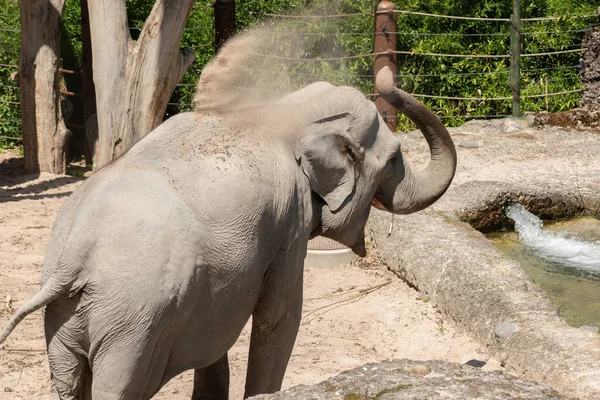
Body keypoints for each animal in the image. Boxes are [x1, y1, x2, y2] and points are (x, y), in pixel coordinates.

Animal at [0, 66, 452, 400]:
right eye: (394, 159)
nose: (387, 76)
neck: (283, 111)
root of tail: (74, 259)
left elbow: (215, 335)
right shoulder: (289, 222)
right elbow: (279, 317)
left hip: (67, 320)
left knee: (68, 383)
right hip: (132, 323)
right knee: (120, 386)